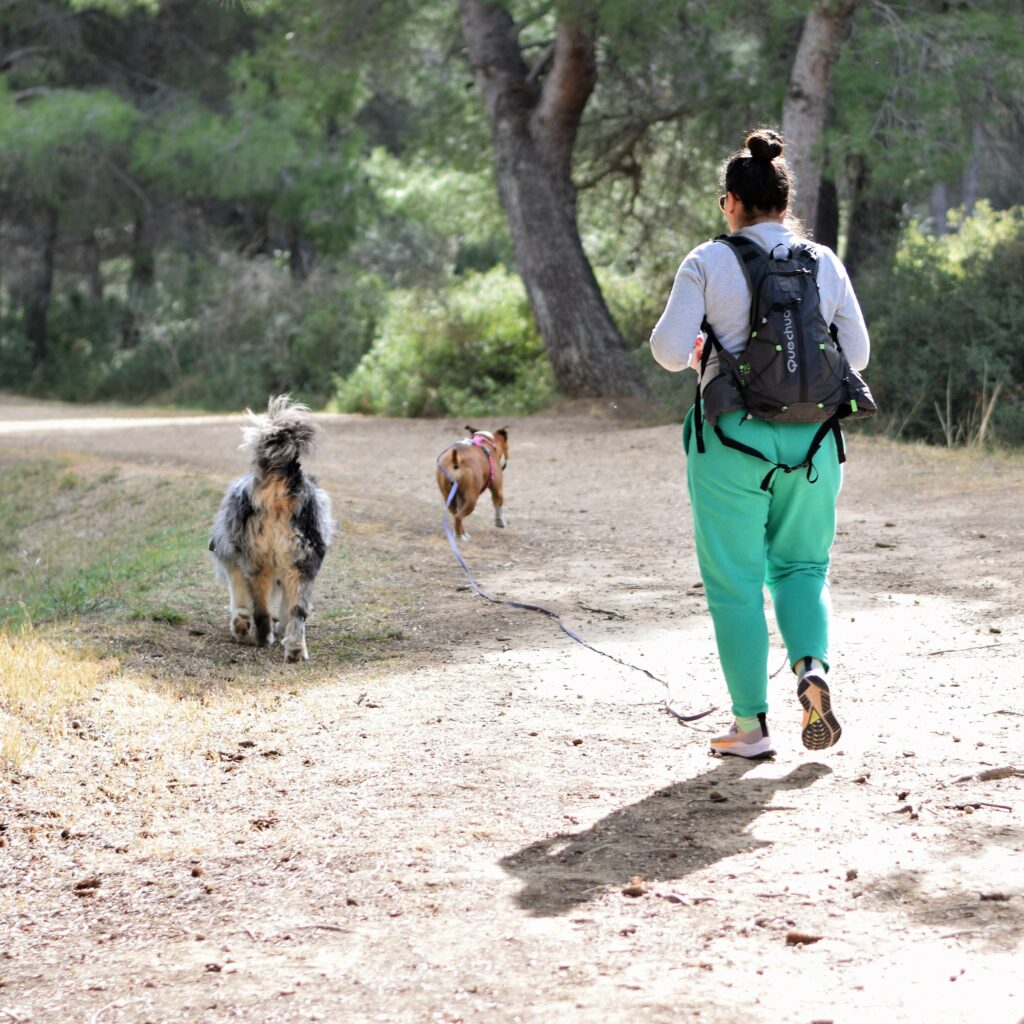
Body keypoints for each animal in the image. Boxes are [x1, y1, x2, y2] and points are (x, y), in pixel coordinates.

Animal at [207, 391, 335, 663]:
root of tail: (278, 492)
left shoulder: (234, 565)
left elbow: (240, 601)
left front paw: (240, 626)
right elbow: (285, 606)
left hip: (259, 563)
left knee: (262, 610)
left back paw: (262, 638)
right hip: (302, 562)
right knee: (297, 611)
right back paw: (295, 649)